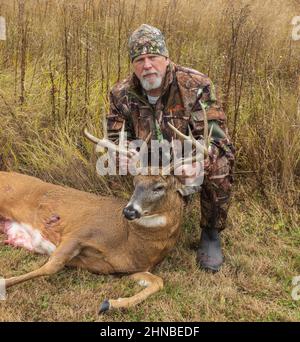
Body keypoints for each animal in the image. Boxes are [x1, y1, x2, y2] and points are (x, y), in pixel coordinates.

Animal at [0, 122, 206, 312]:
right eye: (135, 182)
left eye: (159, 187)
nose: (129, 211)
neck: (128, 240)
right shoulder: (78, 231)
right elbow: (51, 267)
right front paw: (3, 283)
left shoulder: (130, 270)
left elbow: (158, 282)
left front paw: (110, 303)